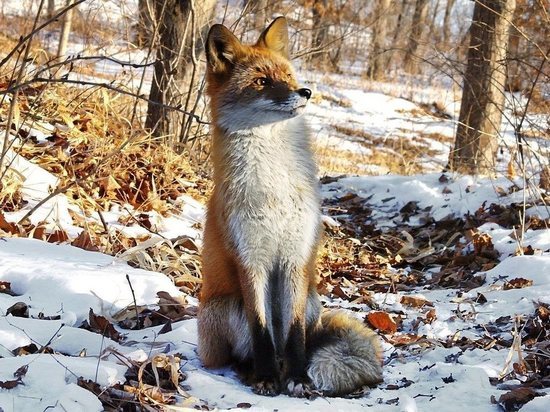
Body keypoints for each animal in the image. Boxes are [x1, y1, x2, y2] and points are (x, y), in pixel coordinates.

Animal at [198, 17, 384, 398]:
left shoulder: (295, 258)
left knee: (300, 338)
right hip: (223, 308)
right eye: (261, 81)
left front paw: (298, 378)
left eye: (287, 76)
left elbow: (295, 334)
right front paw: (267, 377)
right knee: (238, 354)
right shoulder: (251, 259)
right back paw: (251, 370)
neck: (275, 188)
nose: (306, 92)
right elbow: (261, 331)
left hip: (312, 301)